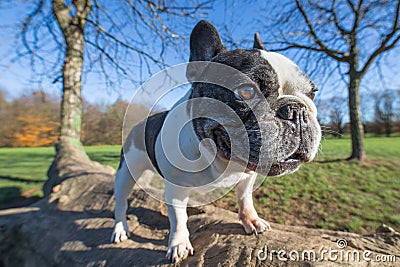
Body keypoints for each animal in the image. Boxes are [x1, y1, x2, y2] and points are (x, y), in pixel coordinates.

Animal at [111, 21, 320, 264]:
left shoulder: (247, 178)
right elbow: (178, 219)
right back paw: (120, 229)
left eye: (312, 94)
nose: (297, 111)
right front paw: (179, 243)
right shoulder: (175, 190)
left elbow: (245, 199)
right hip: (125, 173)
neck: (217, 156)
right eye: (246, 92)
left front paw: (251, 220)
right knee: (121, 203)